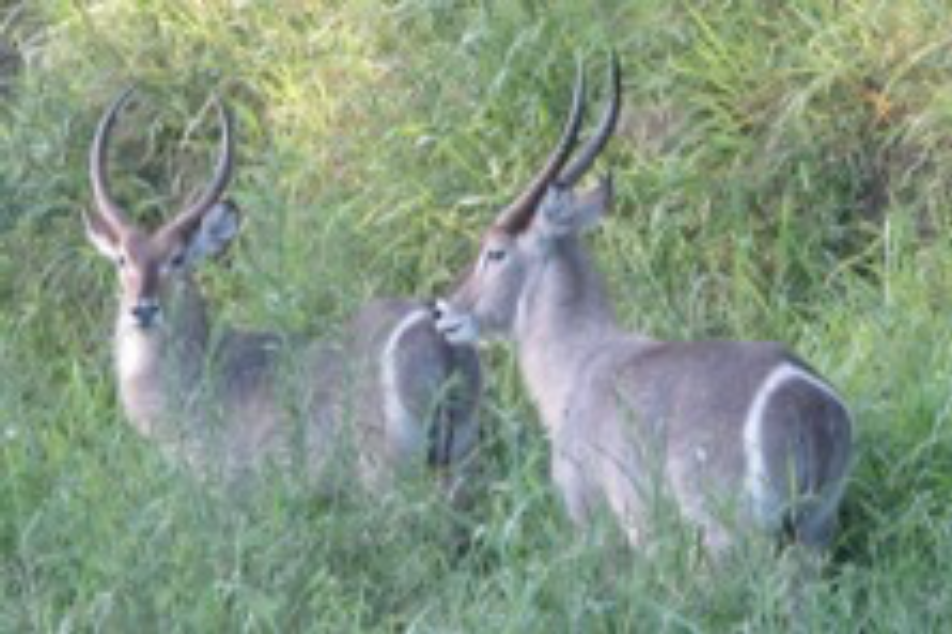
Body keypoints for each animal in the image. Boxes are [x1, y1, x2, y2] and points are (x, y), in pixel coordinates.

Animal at [436, 58, 852, 552]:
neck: (580, 359)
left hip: (730, 534)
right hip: (814, 529)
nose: (443, 310)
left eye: (495, 251)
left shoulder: (600, 516)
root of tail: (806, 401)